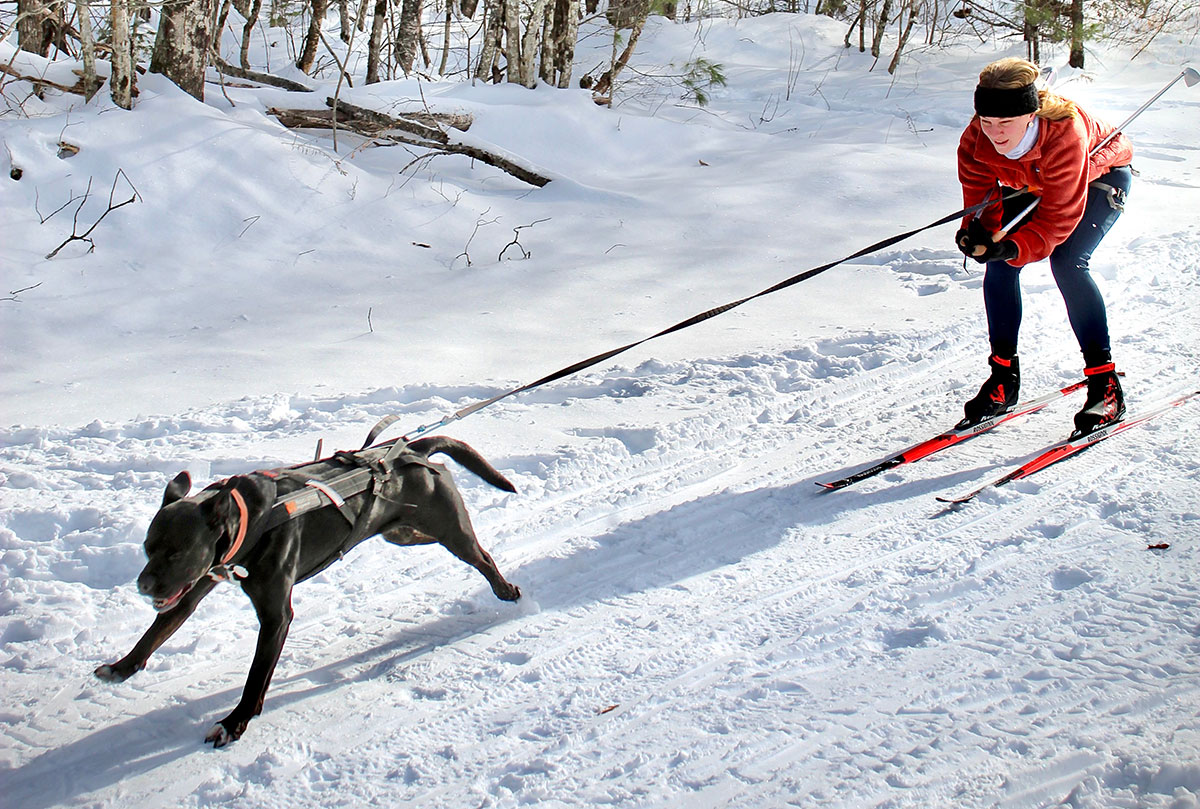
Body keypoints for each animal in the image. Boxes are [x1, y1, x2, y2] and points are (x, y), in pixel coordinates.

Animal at [94, 434, 520, 744]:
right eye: (148, 547)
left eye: (177, 551)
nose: (143, 585)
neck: (251, 518)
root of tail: (411, 450)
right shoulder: (194, 587)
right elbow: (153, 635)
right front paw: (122, 667)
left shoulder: (275, 615)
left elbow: (256, 676)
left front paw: (234, 723)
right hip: (403, 533)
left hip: (450, 531)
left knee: (482, 556)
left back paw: (506, 589)